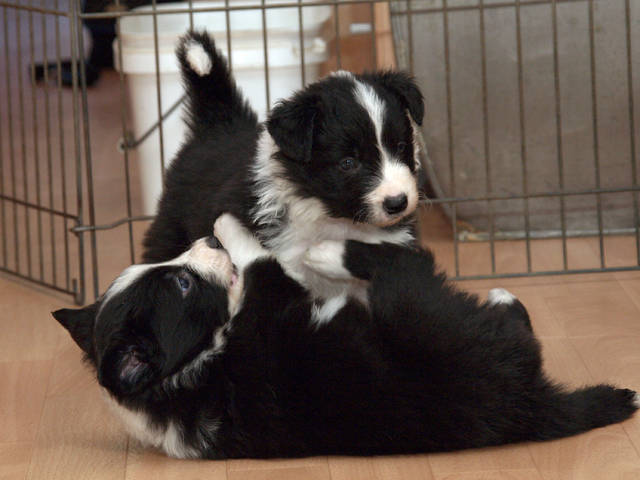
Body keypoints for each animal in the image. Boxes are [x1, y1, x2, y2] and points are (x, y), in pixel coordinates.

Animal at [53, 213, 639, 459]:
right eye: (181, 283)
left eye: (169, 271)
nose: (203, 241)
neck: (188, 375)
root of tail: (528, 404)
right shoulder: (272, 299)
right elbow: (261, 263)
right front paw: (229, 226)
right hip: (416, 313)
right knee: (410, 267)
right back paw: (333, 252)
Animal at [142, 31, 424, 301]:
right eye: (348, 163)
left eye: (401, 147)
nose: (397, 202)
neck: (335, 220)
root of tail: (220, 124)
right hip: (171, 229)